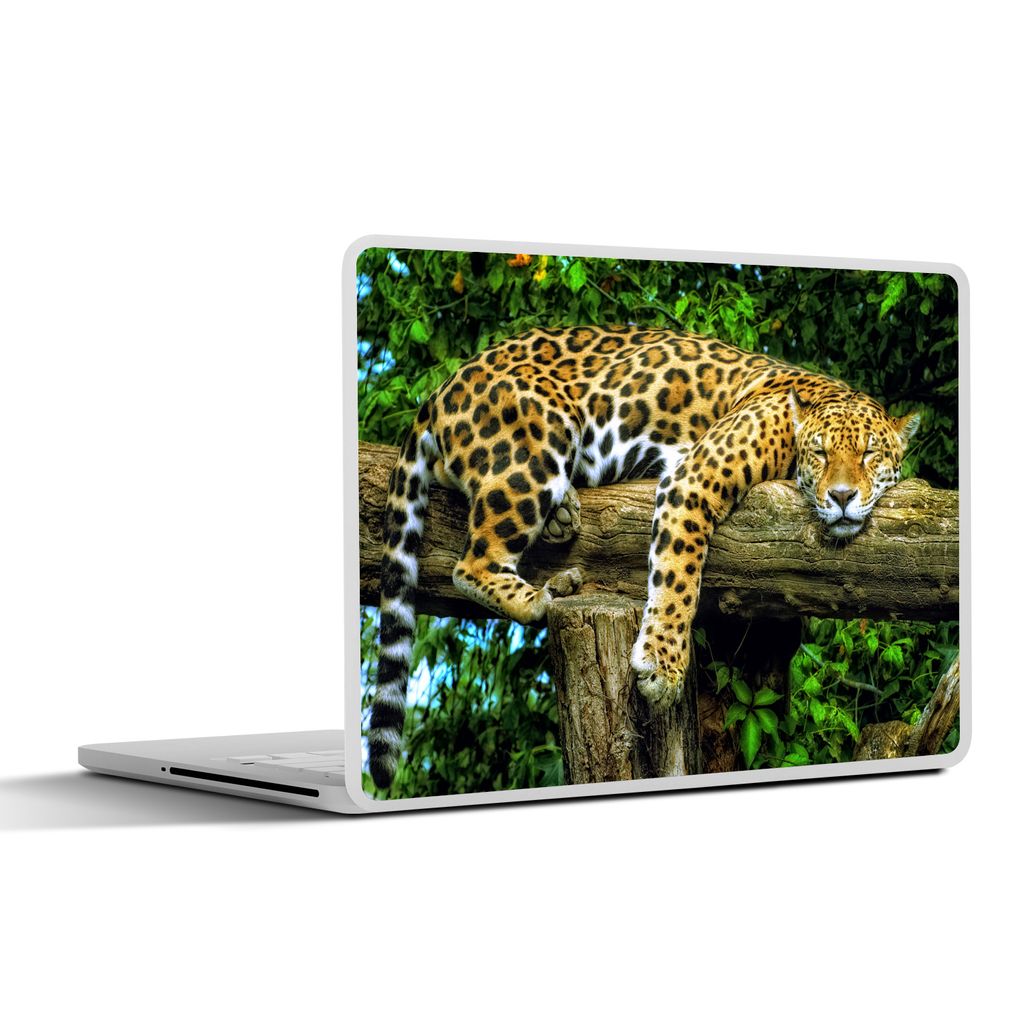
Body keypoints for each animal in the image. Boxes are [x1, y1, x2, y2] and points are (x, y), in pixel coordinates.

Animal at [367, 326, 919, 789]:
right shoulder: (693, 478)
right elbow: (678, 579)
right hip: (533, 449)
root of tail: (443, 386)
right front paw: (662, 667)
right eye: (821, 454)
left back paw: (563, 522)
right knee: (471, 564)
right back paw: (547, 594)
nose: (843, 496)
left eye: (871, 454)